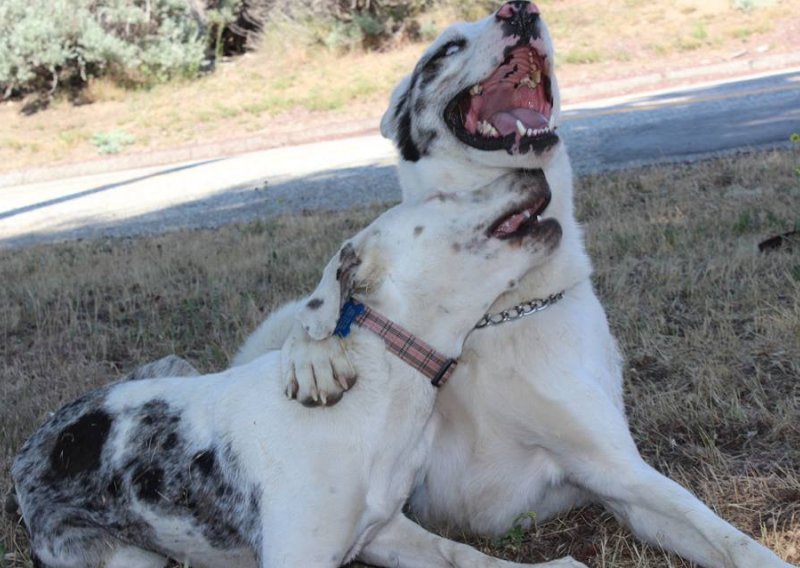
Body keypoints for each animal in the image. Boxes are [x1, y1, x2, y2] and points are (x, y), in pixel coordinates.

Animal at [14, 179, 588, 568]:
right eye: (441, 197)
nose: (529, 168)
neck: (385, 387)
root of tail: (27, 450)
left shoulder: (386, 531)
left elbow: (465, 554)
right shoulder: (303, 555)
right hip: (124, 557)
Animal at [231, 2, 792, 564]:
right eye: (446, 49)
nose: (520, 10)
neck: (491, 313)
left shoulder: (620, 476)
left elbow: (724, 536)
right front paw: (317, 353)